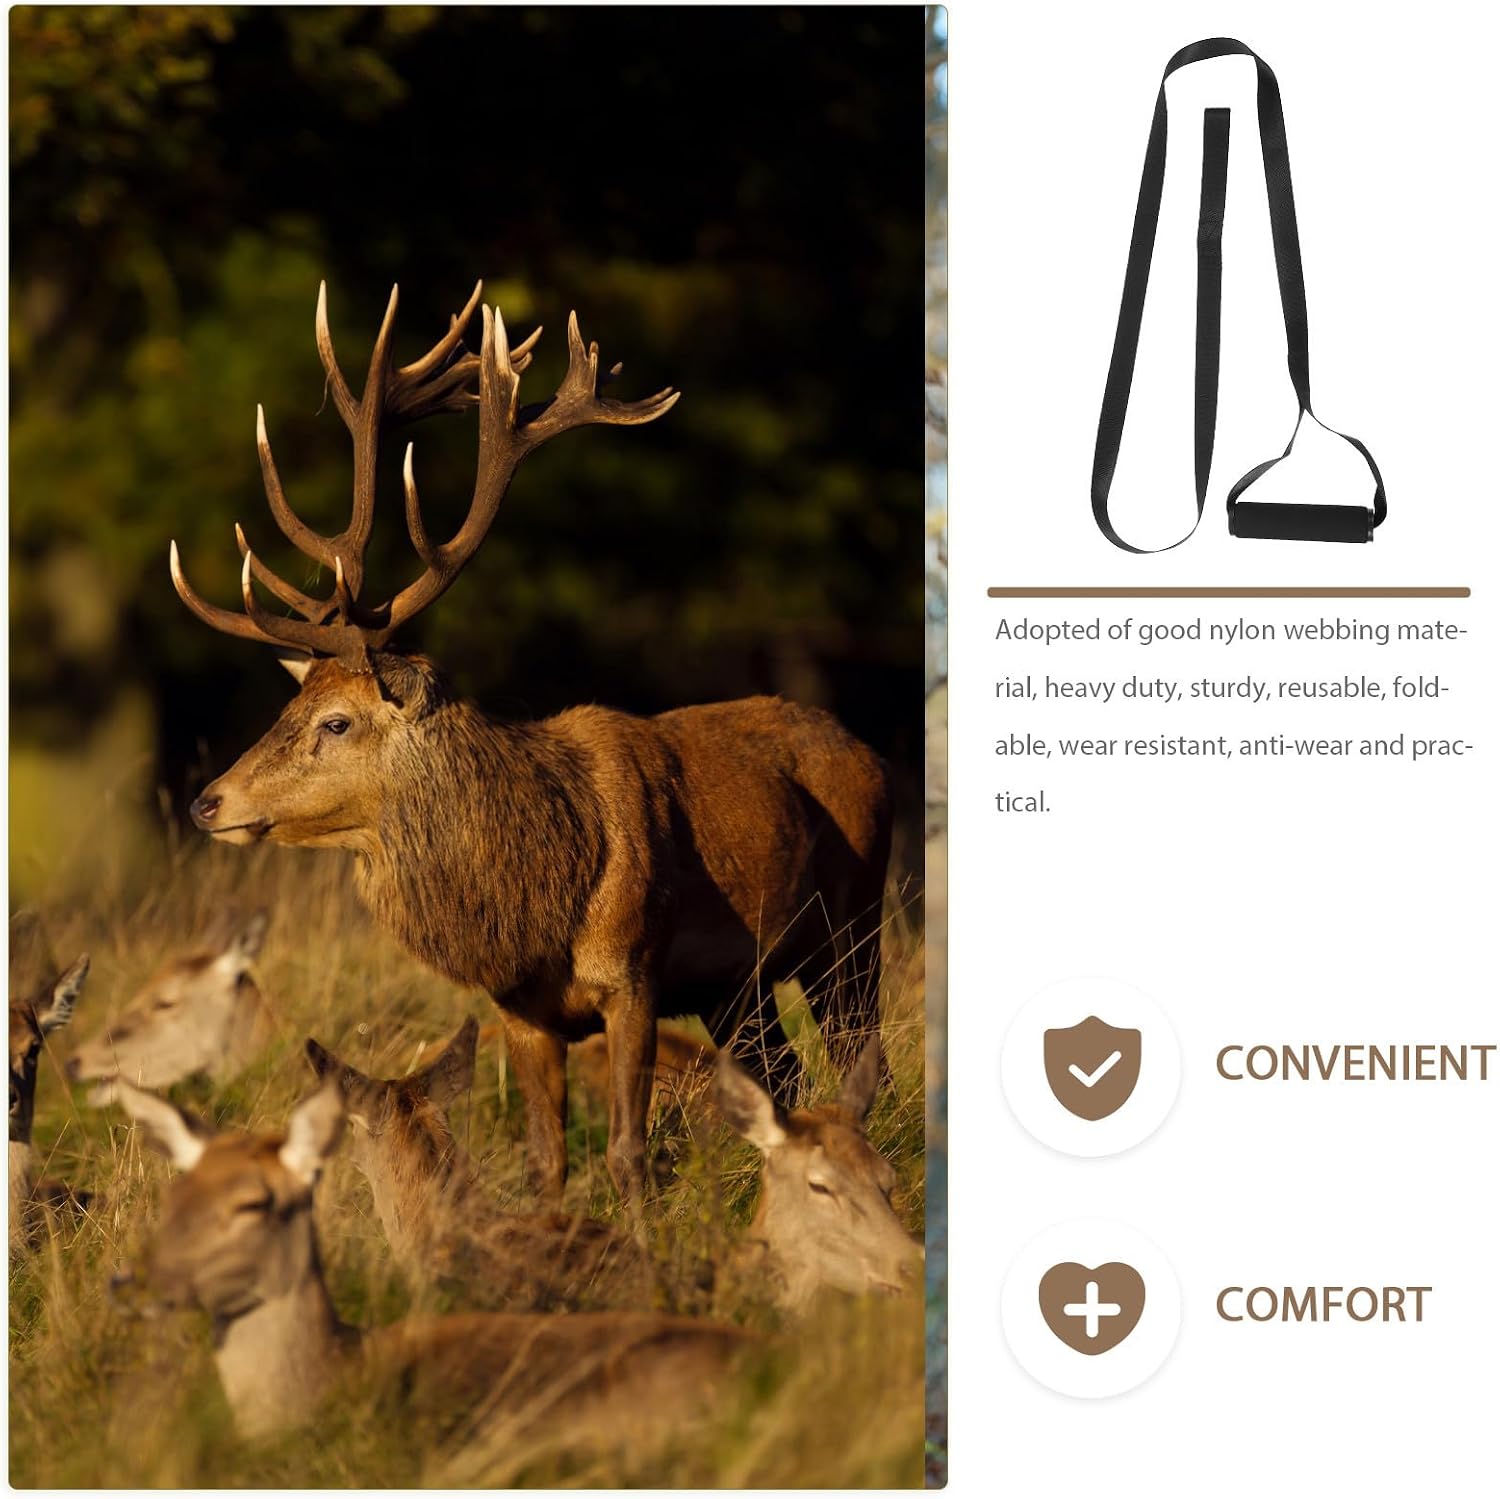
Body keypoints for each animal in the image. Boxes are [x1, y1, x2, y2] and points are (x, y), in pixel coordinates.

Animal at [169, 279, 892, 1210]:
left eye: (336, 721)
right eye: (293, 701)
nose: (207, 800)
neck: (537, 897)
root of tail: (868, 752)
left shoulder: (634, 975)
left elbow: (625, 1152)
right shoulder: (520, 1008)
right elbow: (547, 1163)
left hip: (857, 925)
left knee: (861, 1062)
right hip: (743, 984)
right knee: (788, 1076)